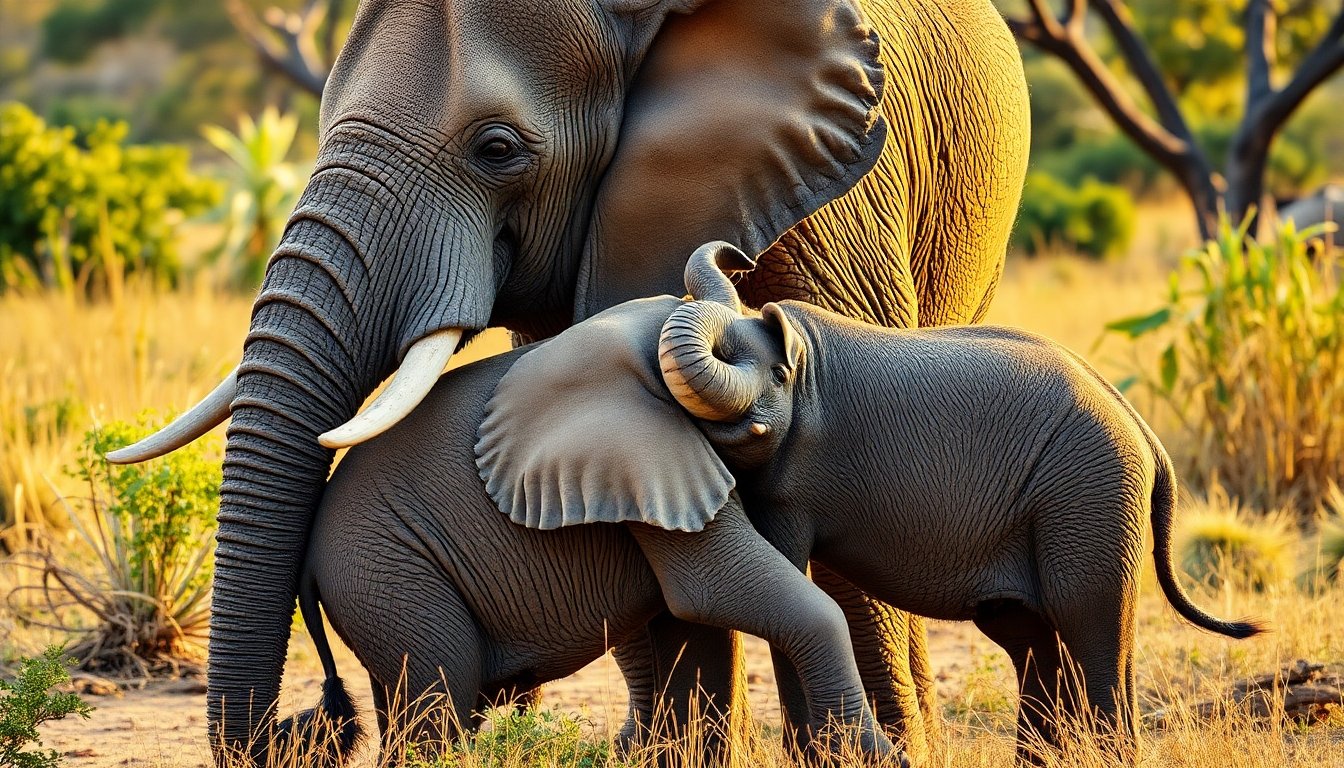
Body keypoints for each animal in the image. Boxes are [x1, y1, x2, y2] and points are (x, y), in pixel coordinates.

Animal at [474, 242, 1266, 764]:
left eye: (753, 367)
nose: (740, 254)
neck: (800, 353)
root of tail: (1147, 437)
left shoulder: (798, 475)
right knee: (1032, 638)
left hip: (1091, 493)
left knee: (1090, 624)